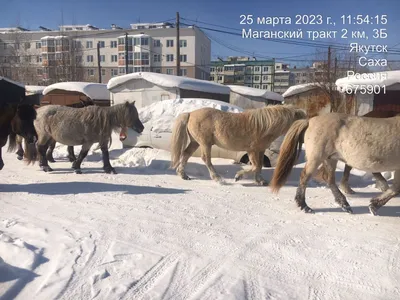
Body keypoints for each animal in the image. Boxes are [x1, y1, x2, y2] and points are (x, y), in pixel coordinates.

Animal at [170, 105, 306, 185]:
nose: (305, 139)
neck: (264, 126)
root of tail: (190, 113)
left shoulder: (260, 150)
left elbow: (259, 166)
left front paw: (260, 181)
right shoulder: (252, 150)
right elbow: (255, 166)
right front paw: (238, 176)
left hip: (195, 142)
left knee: (185, 154)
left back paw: (183, 175)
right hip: (205, 143)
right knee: (206, 159)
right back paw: (217, 178)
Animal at [270, 112, 400, 216]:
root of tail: (310, 121)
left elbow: (395, 188)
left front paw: (374, 205)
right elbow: (395, 189)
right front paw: (374, 205)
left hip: (330, 159)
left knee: (329, 179)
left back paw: (344, 205)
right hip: (317, 158)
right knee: (305, 177)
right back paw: (304, 206)